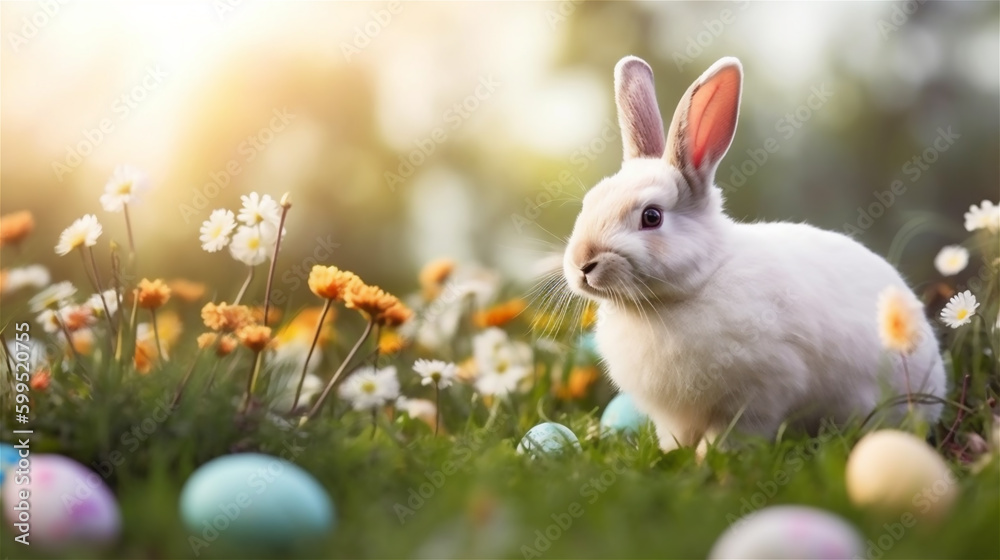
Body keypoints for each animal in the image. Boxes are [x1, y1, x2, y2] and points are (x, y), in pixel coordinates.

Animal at [561, 55, 946, 452]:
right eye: (589, 202)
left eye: (651, 217)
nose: (582, 264)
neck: (682, 292)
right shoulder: (673, 418)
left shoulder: (760, 393)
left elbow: (731, 435)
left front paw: (707, 458)